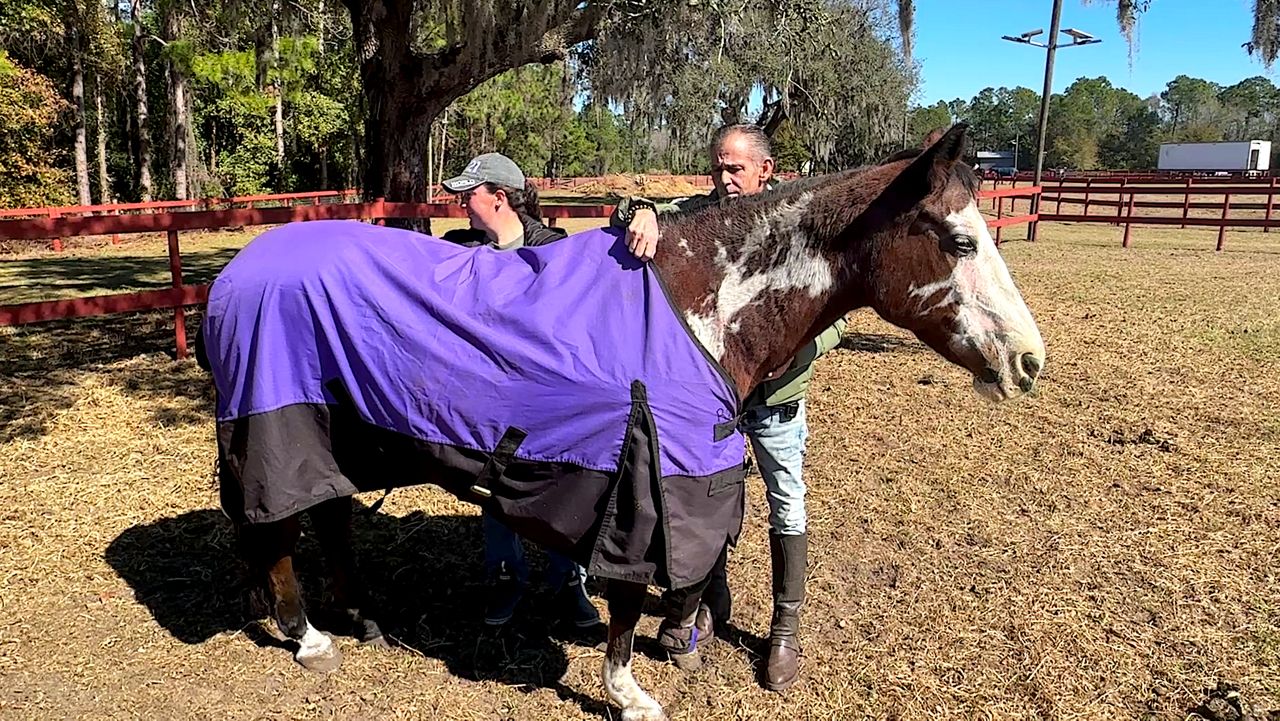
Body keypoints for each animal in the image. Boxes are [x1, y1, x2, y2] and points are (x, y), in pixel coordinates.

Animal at [195, 123, 1045, 721]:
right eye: (959, 238)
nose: (1029, 360)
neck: (700, 304)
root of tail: (232, 277)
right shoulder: (649, 488)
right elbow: (631, 600)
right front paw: (628, 690)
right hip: (274, 431)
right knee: (277, 534)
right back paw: (310, 637)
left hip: (338, 438)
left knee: (329, 518)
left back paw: (359, 615)